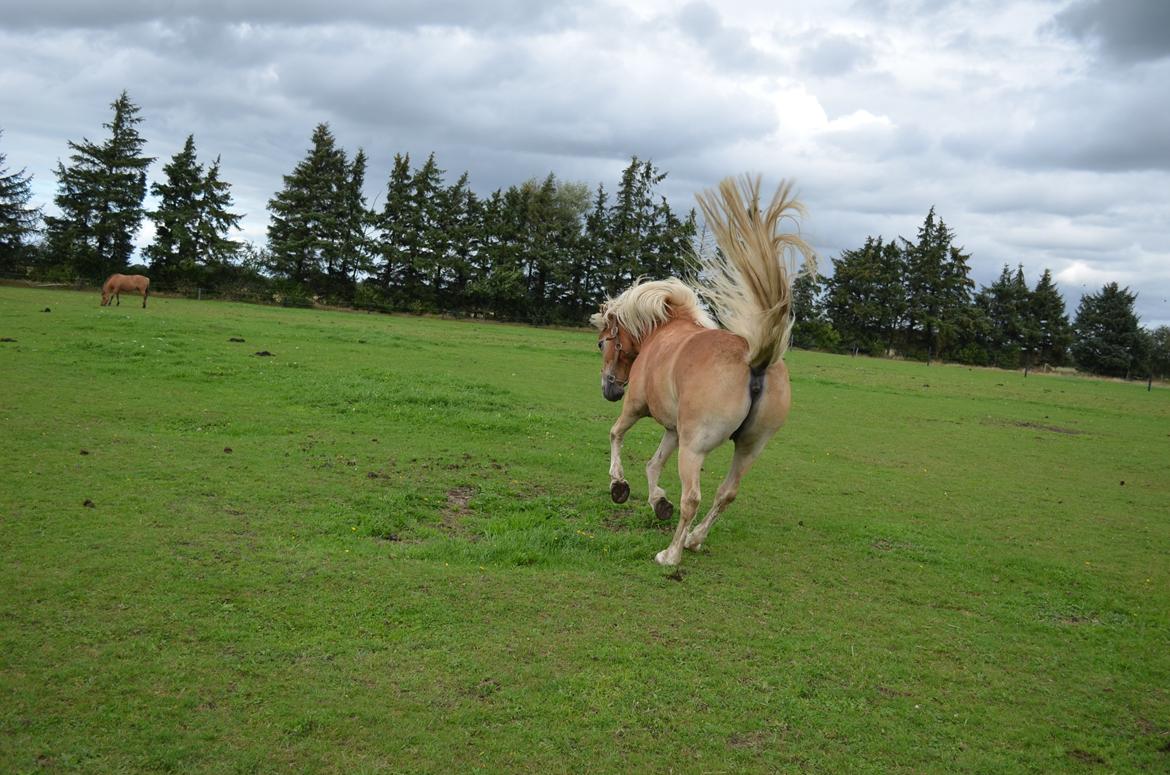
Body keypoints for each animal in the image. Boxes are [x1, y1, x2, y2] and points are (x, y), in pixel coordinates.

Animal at [594, 174, 814, 564]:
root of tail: (755, 361)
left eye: (603, 343)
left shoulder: (637, 407)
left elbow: (616, 435)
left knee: (693, 498)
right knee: (726, 494)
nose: (609, 388)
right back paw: (694, 540)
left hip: (694, 449)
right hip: (749, 449)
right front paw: (658, 502)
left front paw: (619, 485)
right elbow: (654, 464)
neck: (662, 332)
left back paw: (671, 554)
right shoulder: (673, 429)